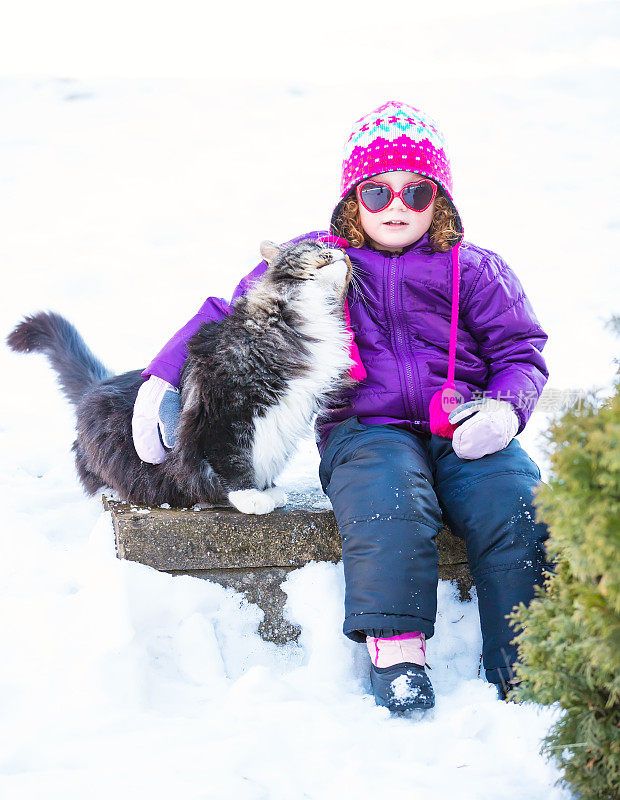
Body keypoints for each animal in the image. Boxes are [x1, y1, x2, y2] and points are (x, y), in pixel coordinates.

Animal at [7, 238, 354, 512]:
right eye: (315, 247)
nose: (341, 251)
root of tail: (99, 383)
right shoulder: (223, 411)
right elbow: (230, 458)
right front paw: (250, 496)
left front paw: (267, 489)